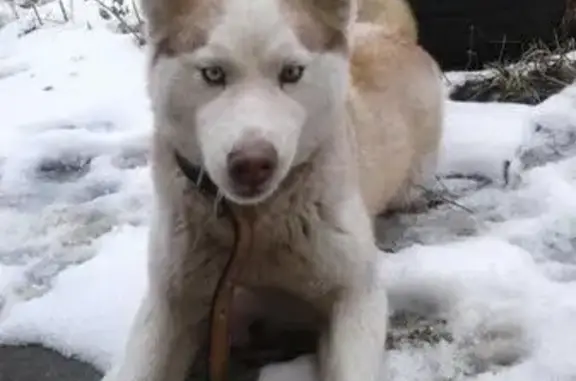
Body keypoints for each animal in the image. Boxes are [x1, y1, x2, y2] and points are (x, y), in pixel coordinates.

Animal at [103, 0, 444, 378]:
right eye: (213, 74)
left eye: (292, 72)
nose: (252, 164)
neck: (252, 230)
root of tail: (389, 34)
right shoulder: (170, 301)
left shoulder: (358, 296)